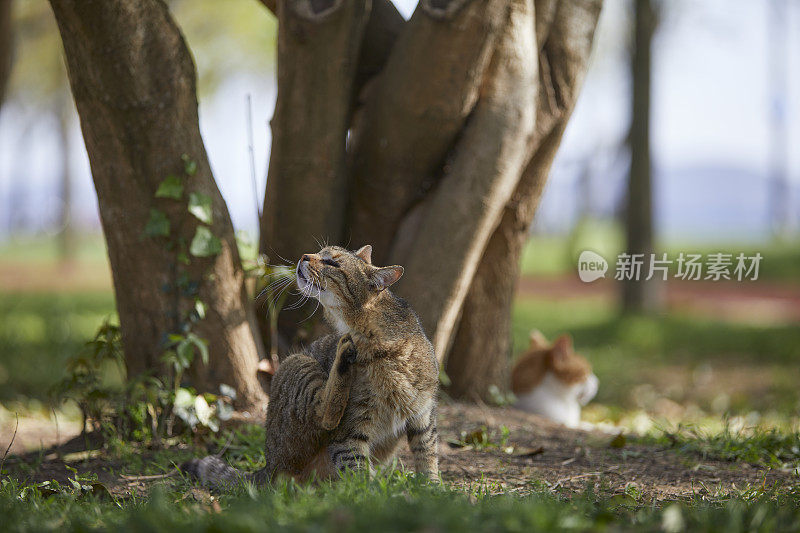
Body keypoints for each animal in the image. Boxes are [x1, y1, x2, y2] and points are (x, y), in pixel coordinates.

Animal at [183, 245, 438, 486]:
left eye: (333, 262)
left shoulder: (424, 416)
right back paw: (342, 356)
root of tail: (268, 467)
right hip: (296, 362)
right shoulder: (348, 432)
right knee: (325, 415)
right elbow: (358, 476)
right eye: (320, 252)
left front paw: (433, 489)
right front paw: (371, 493)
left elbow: (428, 456)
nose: (304, 255)